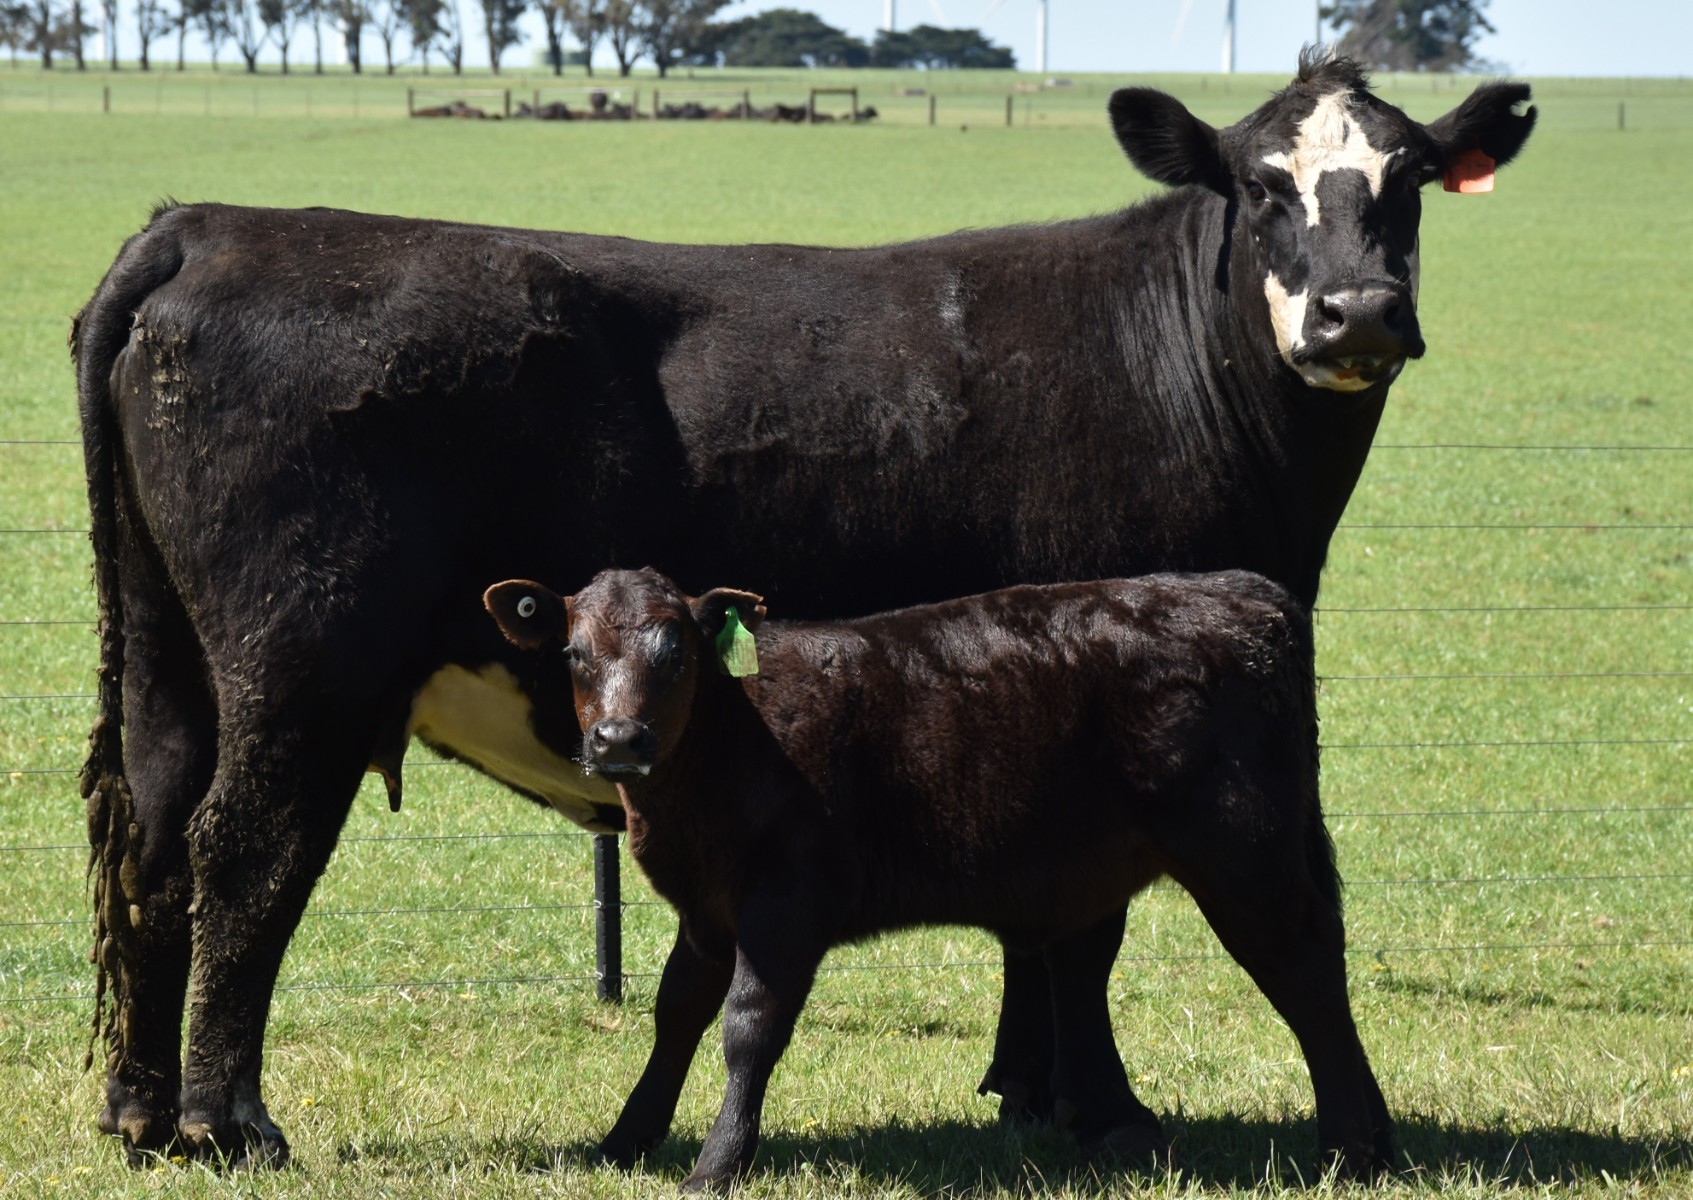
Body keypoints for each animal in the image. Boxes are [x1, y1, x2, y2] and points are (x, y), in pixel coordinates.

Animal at [481, 566, 1389, 1188]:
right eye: (574, 653)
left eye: (677, 652)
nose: (618, 740)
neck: (730, 745)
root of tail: (1237, 590)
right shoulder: (707, 910)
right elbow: (675, 1015)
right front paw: (623, 1140)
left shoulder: (786, 903)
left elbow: (748, 1027)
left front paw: (717, 1163)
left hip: (1243, 855)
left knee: (1305, 968)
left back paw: (1350, 1146)